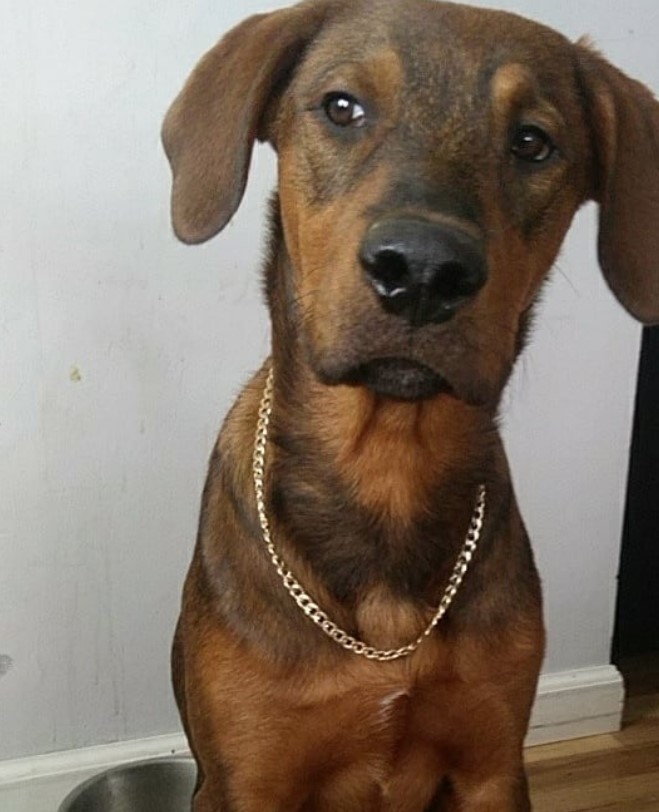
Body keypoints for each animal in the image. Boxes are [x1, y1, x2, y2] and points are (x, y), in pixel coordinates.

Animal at [162, 3, 659, 808]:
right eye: (342, 107)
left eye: (532, 141)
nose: (424, 271)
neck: (389, 464)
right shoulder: (248, 775)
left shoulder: (492, 762)